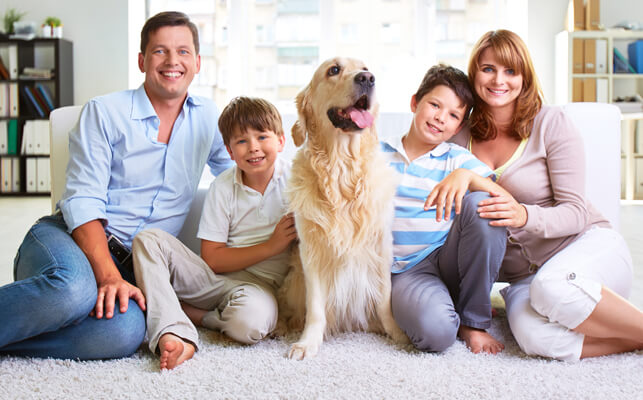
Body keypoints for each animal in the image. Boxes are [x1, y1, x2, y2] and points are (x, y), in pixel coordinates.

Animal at [280, 56, 410, 360]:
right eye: (334, 70)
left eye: (366, 67)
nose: (367, 78)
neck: (342, 171)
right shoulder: (311, 251)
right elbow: (315, 307)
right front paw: (308, 342)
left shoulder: (381, 246)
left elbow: (384, 298)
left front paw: (397, 333)